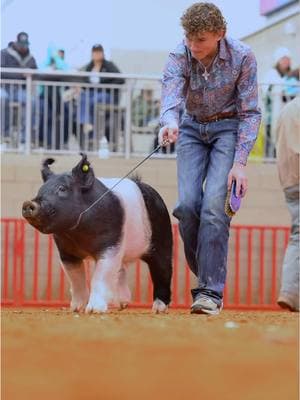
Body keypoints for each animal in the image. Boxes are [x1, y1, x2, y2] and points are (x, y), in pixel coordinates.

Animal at [21, 153, 173, 312]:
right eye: (40, 190)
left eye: (62, 189)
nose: (28, 203)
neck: (76, 235)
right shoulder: (66, 253)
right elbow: (76, 279)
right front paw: (75, 309)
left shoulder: (111, 244)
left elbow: (99, 277)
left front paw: (93, 310)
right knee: (121, 270)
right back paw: (121, 304)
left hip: (162, 238)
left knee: (163, 270)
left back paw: (158, 309)